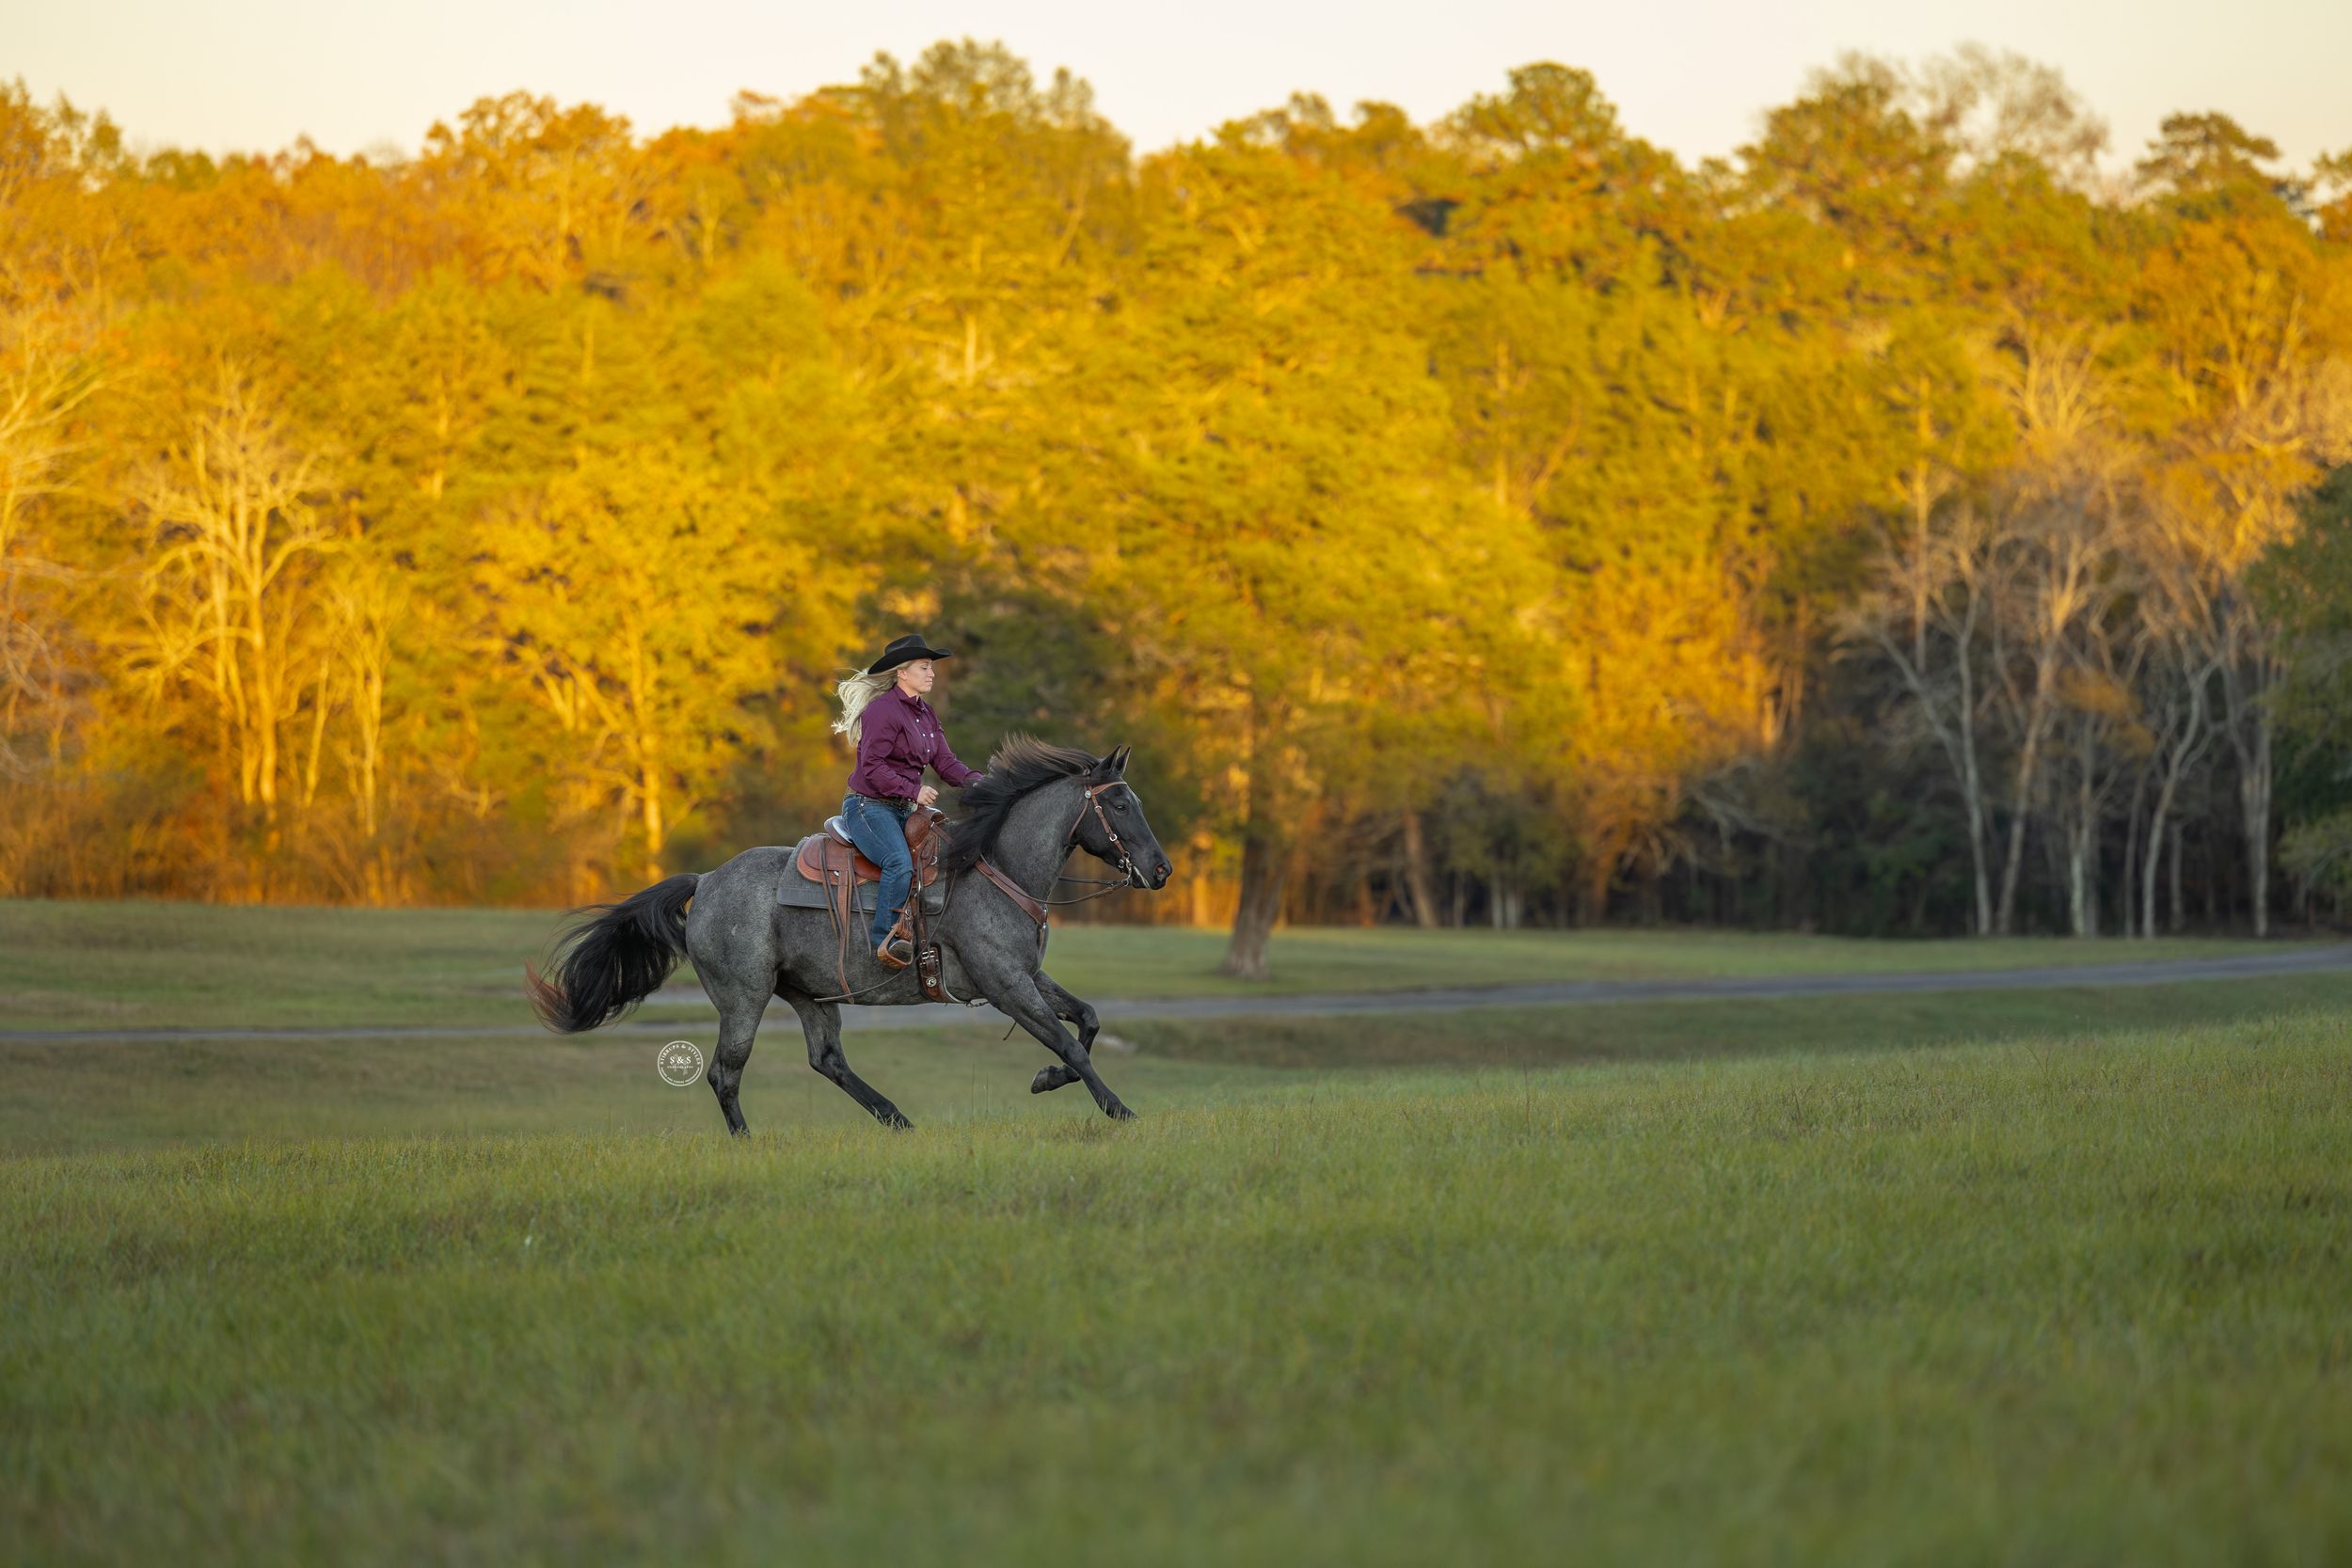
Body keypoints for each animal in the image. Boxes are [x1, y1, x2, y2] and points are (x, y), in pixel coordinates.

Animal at [525, 737, 1175, 1134]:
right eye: (1120, 803)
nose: (1161, 869)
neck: (994, 867)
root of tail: (706, 880)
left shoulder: (1029, 975)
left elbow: (1087, 1020)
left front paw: (1047, 1081)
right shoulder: (1006, 984)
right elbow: (1068, 1042)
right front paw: (1119, 1109)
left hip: (810, 994)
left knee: (827, 1059)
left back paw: (897, 1119)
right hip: (744, 998)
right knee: (725, 1072)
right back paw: (749, 1141)